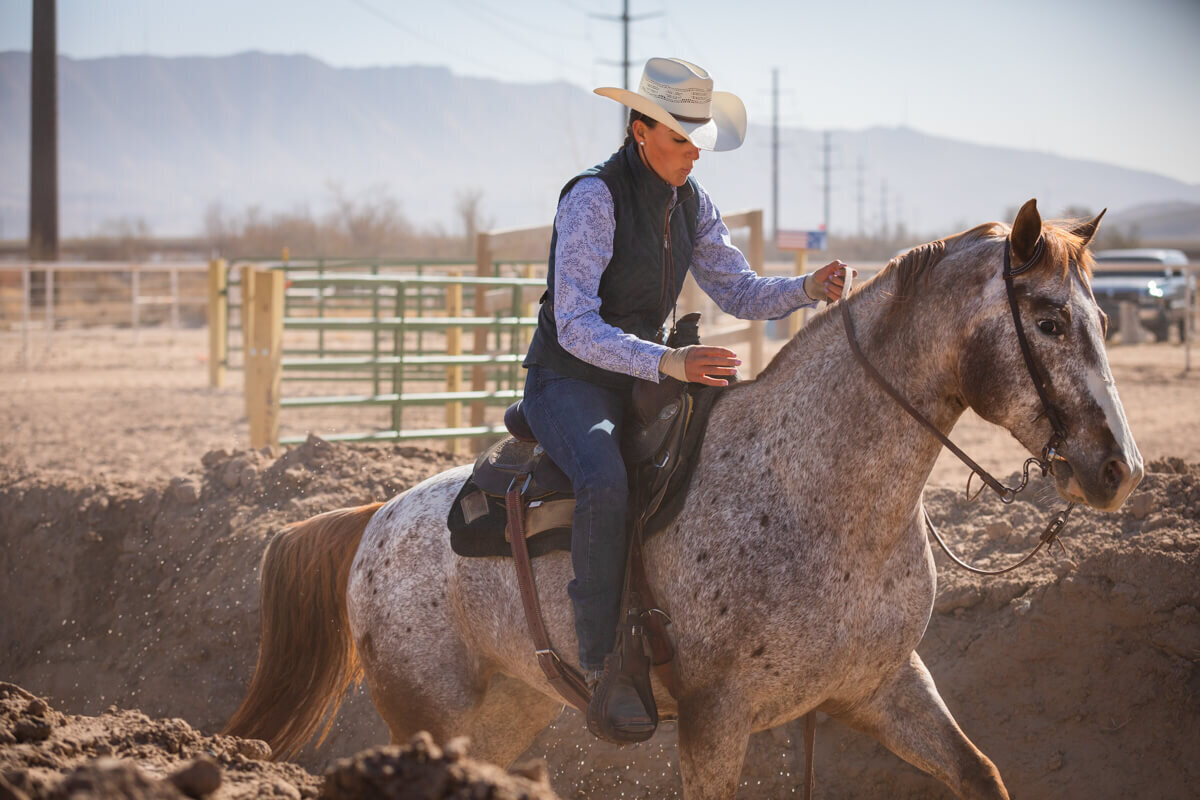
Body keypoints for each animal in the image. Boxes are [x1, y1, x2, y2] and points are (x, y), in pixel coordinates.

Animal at [226, 200, 1142, 800]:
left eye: (1105, 319)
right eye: (1049, 320)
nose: (1119, 469)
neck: (818, 494)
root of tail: (374, 519)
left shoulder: (885, 687)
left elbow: (979, 772)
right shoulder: (714, 722)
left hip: (509, 709)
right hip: (429, 712)